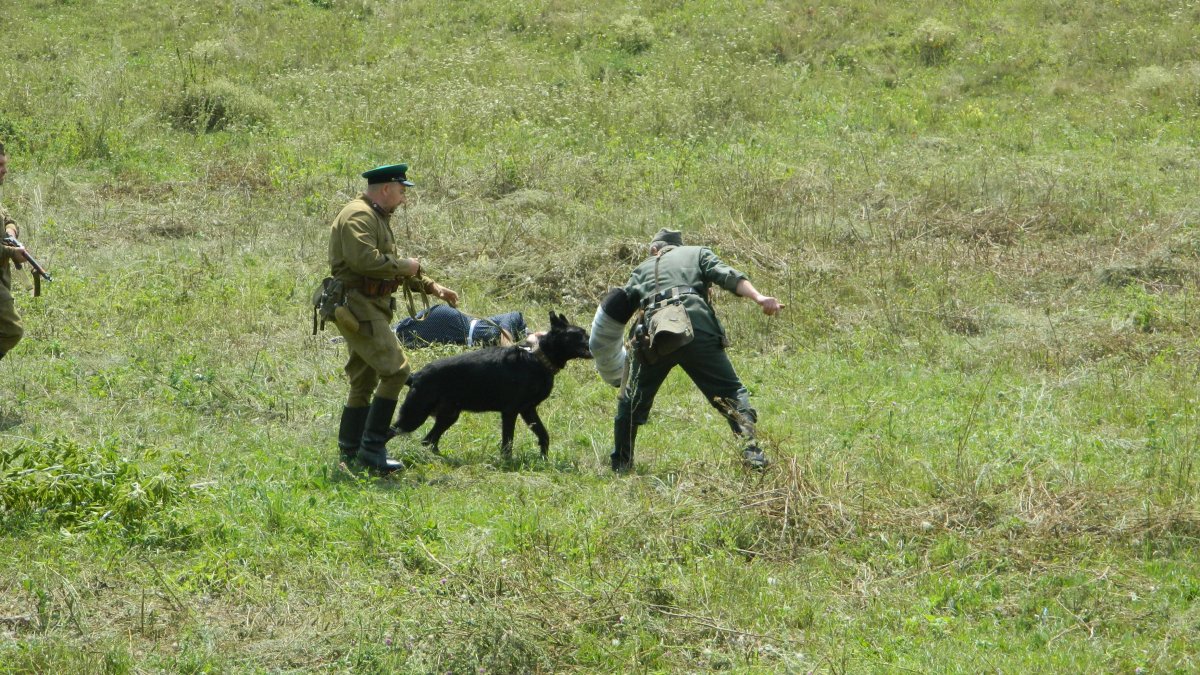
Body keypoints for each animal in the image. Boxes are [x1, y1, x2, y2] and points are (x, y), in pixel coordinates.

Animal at [391, 311, 593, 460]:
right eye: (580, 335)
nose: (594, 342)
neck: (536, 358)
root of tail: (416, 376)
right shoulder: (511, 412)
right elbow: (508, 441)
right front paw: (507, 462)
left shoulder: (528, 410)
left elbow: (544, 435)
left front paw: (543, 458)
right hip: (414, 415)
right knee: (393, 432)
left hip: (448, 416)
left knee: (429, 441)